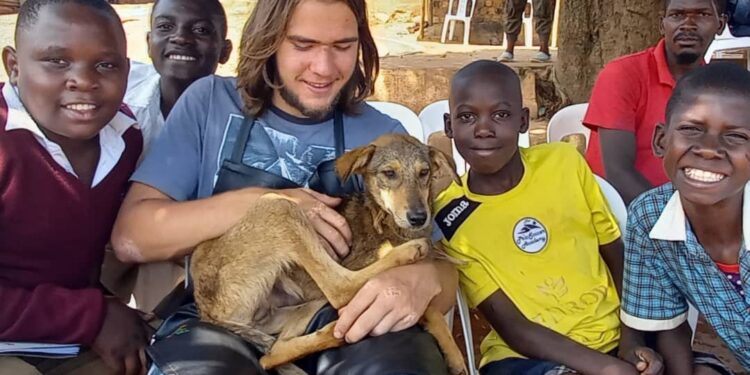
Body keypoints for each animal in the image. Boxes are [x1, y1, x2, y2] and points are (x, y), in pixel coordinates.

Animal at [191, 134, 468, 374]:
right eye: (389, 173)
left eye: (424, 173)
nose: (419, 217)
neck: (384, 220)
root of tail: (208, 312)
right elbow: (425, 307)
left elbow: (431, 308)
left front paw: (454, 355)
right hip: (280, 206)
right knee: (339, 289)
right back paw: (407, 253)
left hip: (304, 305)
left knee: (272, 355)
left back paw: (331, 334)